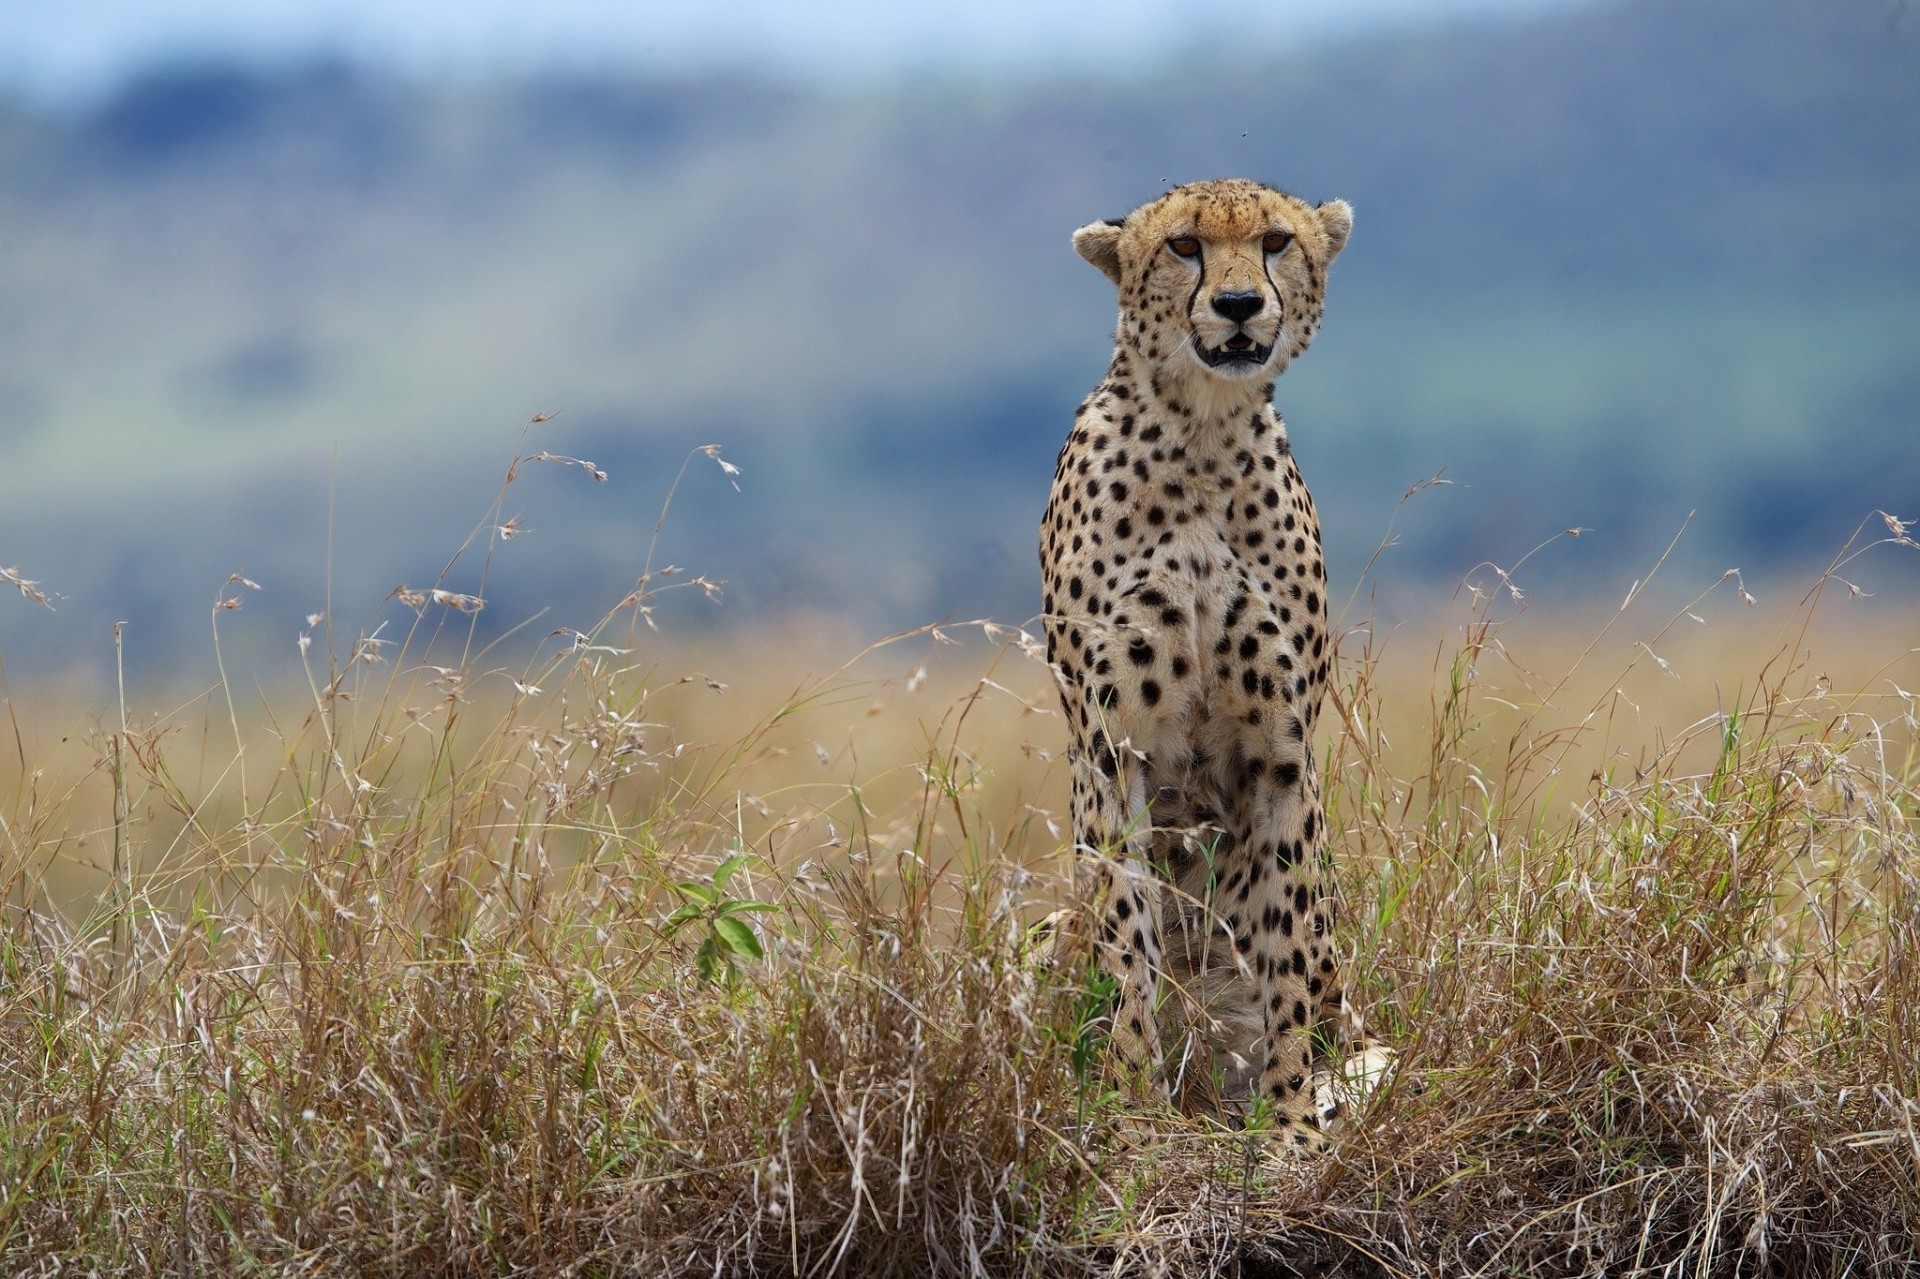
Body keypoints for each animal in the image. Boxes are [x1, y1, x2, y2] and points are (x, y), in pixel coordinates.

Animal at [1039, 178, 1373, 1147]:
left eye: (1275, 241)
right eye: (1184, 245)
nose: (1236, 304)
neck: (1202, 436)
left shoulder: (1281, 752)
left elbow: (1286, 949)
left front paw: (1293, 1120)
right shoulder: (1110, 749)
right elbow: (1126, 937)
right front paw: (1130, 1106)